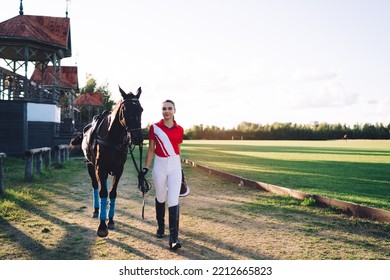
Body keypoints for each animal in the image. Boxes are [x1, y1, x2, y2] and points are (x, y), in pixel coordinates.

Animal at [70, 86, 143, 236]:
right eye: (125, 110)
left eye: (141, 109)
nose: (138, 137)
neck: (112, 138)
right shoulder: (100, 168)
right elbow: (103, 192)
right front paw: (102, 225)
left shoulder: (118, 170)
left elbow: (112, 193)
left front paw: (111, 220)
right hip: (90, 165)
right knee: (95, 186)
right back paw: (96, 210)